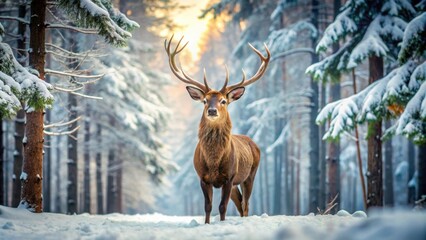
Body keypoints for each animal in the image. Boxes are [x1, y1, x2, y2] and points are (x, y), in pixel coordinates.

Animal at [166, 35, 270, 223]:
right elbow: (208, 206)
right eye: (205, 100)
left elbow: (223, 207)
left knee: (245, 204)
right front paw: (207, 223)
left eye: (223, 101)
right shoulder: (203, 177)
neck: (213, 161)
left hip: (250, 174)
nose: (212, 110)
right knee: (240, 203)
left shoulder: (229, 177)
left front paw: (222, 223)